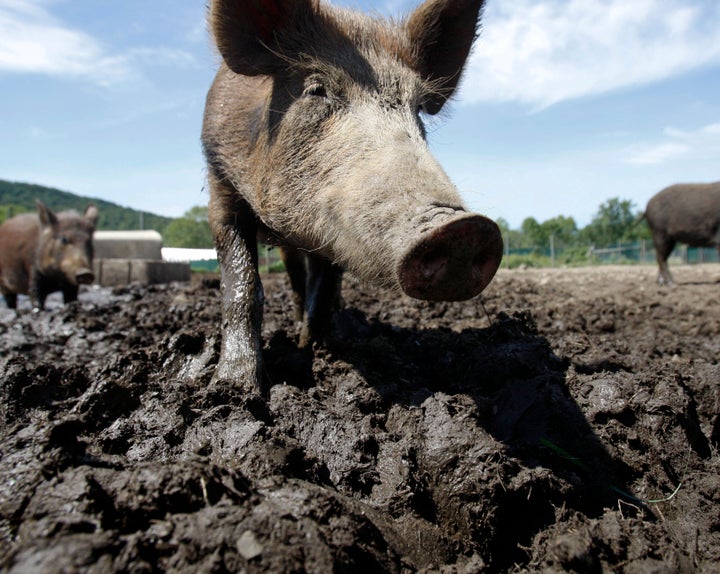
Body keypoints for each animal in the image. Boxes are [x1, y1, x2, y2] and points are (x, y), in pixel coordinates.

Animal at [202, 0, 504, 394]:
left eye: (418, 108)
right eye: (316, 89)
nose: (463, 228)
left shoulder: (332, 230)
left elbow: (323, 287)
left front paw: (314, 350)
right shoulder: (220, 186)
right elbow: (242, 283)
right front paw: (232, 387)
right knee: (293, 276)